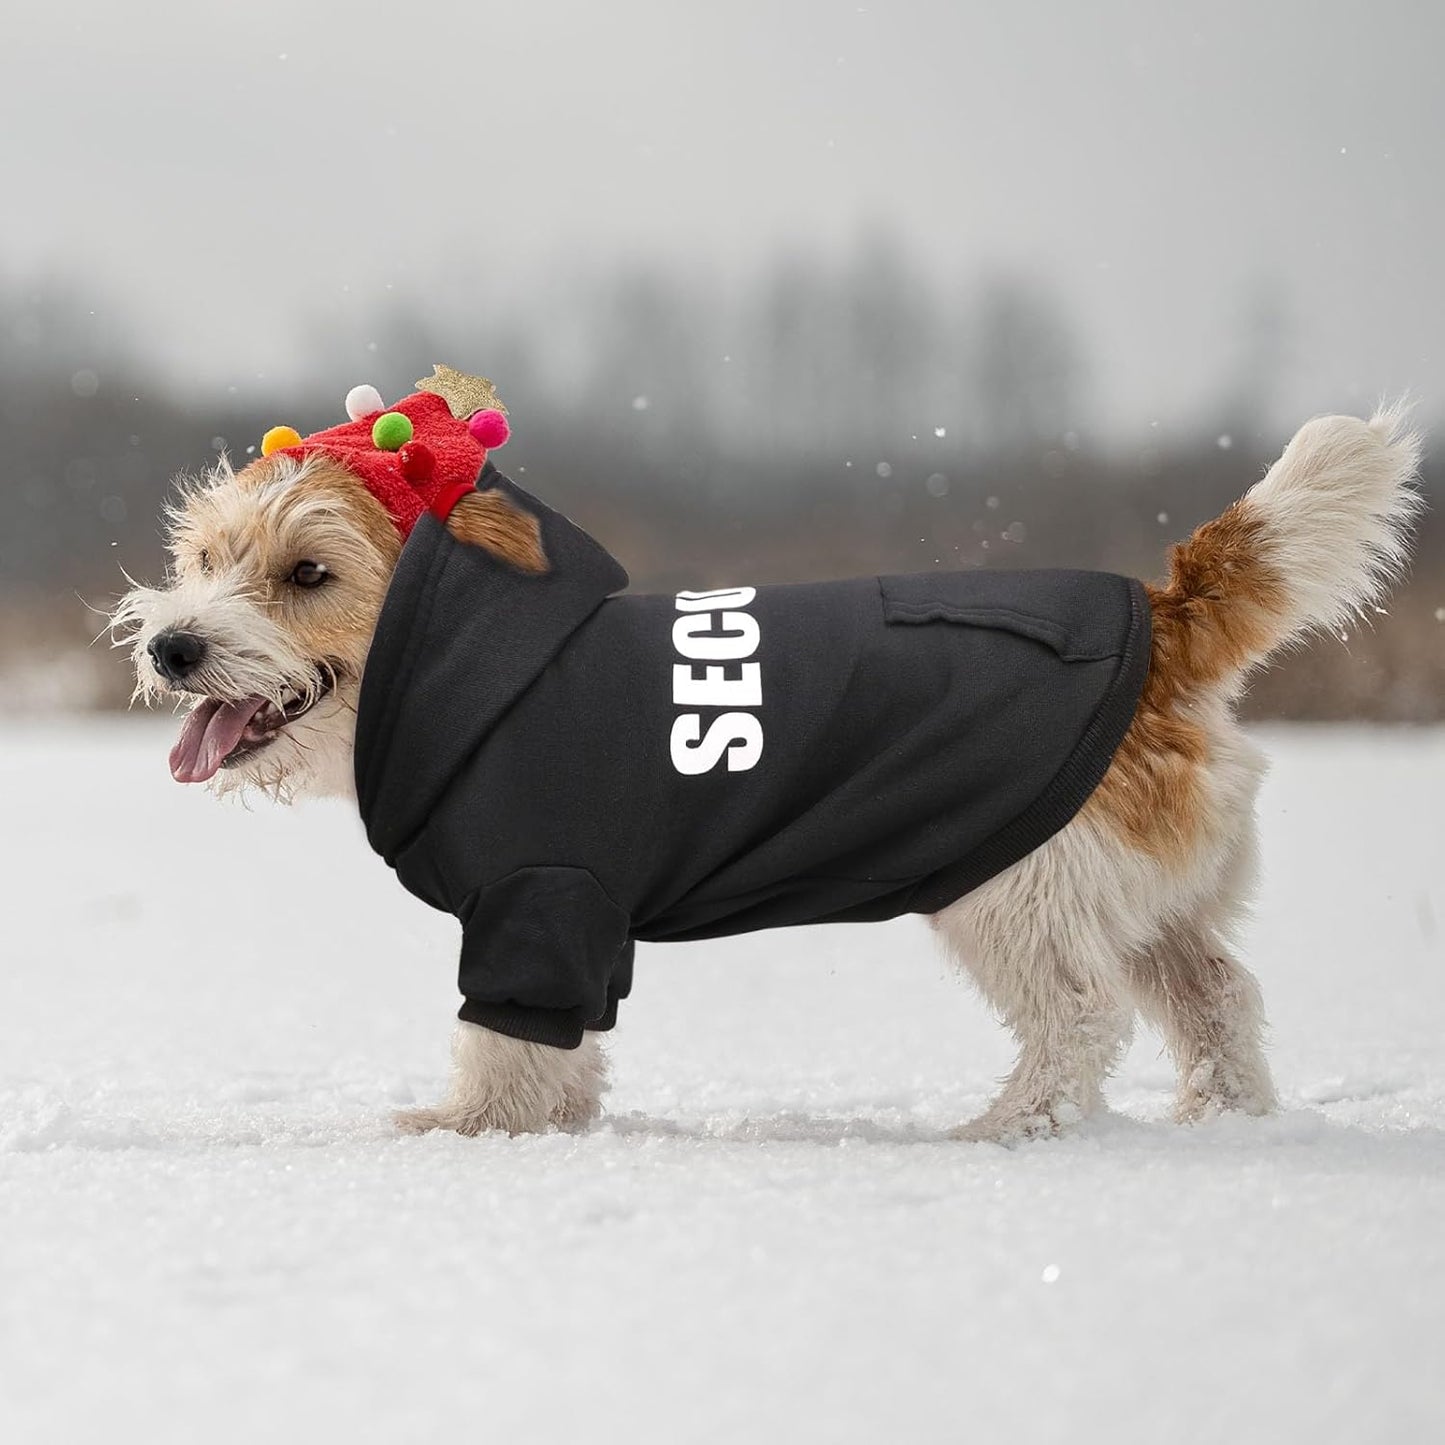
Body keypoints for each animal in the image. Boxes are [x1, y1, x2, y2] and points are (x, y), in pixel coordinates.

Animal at [112, 378, 1421, 1144]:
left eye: (309, 573)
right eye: (207, 557)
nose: (174, 645)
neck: (471, 662)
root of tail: (1163, 612)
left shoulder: (538, 901)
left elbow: (502, 1034)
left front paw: (473, 1124)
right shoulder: (577, 922)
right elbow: (567, 1042)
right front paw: (557, 1120)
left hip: (1016, 887)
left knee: (1080, 1014)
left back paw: (1011, 1126)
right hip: (1142, 900)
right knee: (1216, 997)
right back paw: (1223, 1123)